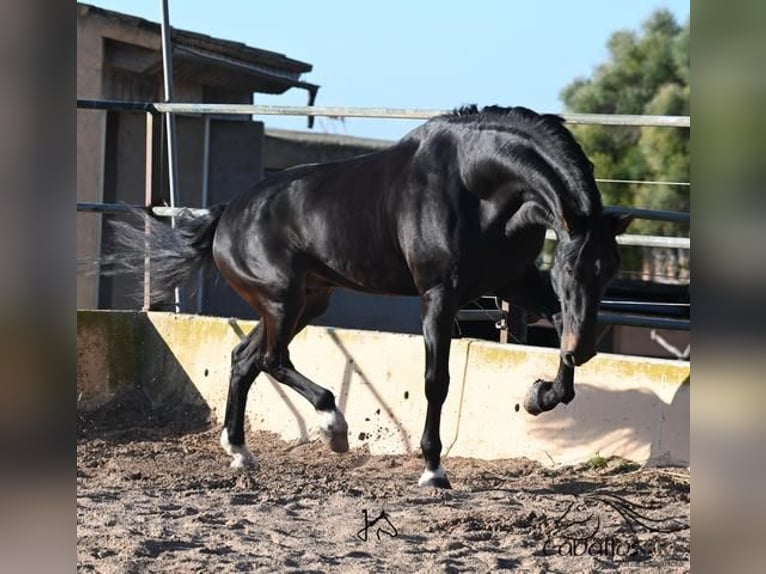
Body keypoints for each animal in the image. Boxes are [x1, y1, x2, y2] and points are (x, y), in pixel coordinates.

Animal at [111, 106, 632, 488]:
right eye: (569, 266)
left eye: (610, 270)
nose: (585, 349)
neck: (474, 184)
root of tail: (226, 214)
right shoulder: (439, 296)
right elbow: (436, 381)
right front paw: (433, 469)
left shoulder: (515, 282)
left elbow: (559, 335)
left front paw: (539, 396)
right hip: (283, 301)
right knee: (273, 360)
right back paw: (333, 426)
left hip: (307, 301)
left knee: (245, 359)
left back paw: (240, 452)